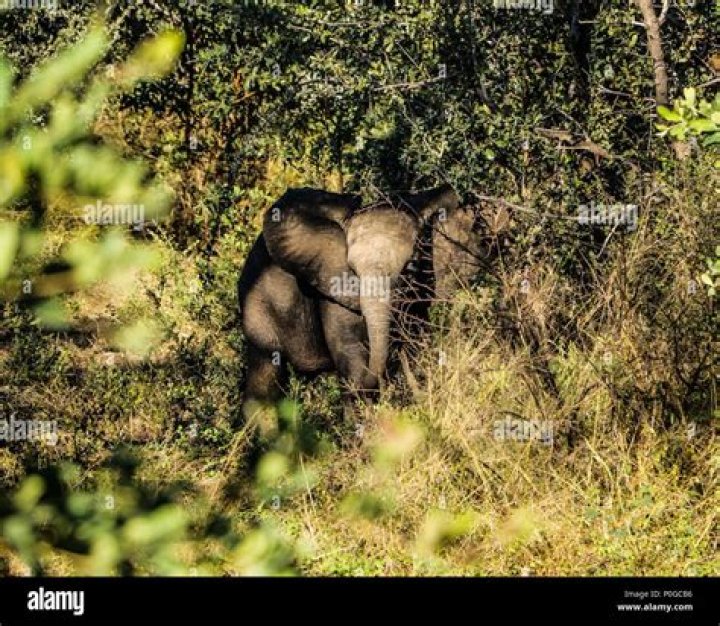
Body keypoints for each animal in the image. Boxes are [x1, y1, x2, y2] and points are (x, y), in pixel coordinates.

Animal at [237, 184, 462, 418]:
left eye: (410, 266)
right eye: (352, 270)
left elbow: (417, 341)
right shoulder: (333, 291)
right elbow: (350, 348)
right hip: (258, 308)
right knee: (265, 376)